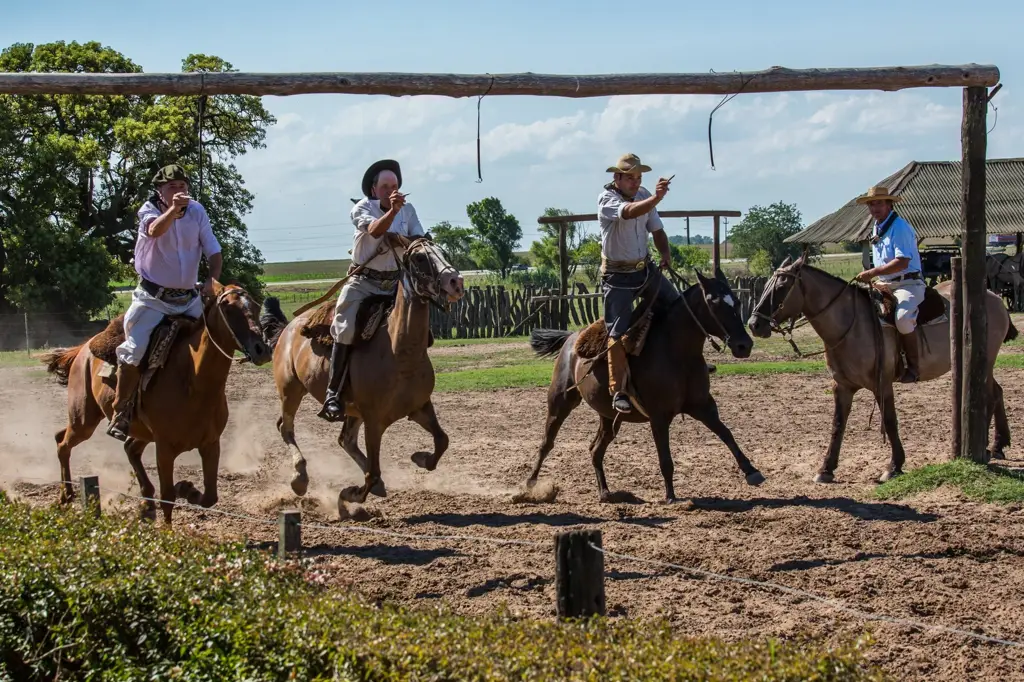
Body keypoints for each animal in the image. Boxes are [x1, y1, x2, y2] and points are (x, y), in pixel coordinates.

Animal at [39, 280, 274, 520]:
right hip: (83, 420)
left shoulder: (210, 444)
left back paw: (146, 504)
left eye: (256, 307)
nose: (261, 349)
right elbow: (168, 498)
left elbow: (209, 497)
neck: (193, 382)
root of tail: (83, 349)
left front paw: (187, 489)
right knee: (63, 444)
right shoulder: (164, 448)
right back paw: (66, 496)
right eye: (228, 308)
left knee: (128, 448)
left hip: (135, 429)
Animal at [258, 233, 466, 503]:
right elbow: (374, 471)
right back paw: (300, 477)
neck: (400, 353)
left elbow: (442, 440)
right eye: (420, 257)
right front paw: (353, 494)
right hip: (290, 390)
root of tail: (289, 328)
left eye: (444, 252)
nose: (456, 282)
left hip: (349, 409)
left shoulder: (419, 407)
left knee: (344, 440)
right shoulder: (373, 420)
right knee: (286, 427)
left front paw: (420, 458)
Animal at [528, 266, 761, 499]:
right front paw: (671, 497)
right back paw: (530, 484)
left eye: (737, 302)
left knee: (596, 449)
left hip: (609, 417)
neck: (677, 352)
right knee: (547, 442)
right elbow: (665, 459)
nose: (744, 345)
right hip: (560, 401)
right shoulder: (659, 416)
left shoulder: (703, 406)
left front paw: (752, 471)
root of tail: (571, 338)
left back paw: (604, 492)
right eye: (714, 302)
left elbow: (726, 434)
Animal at [745, 251, 1015, 481]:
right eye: (766, 285)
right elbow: (837, 424)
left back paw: (988, 447)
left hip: (984, 360)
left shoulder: (881, 384)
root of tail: (993, 298)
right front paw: (826, 468)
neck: (851, 325)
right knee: (997, 392)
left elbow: (889, 421)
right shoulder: (842, 387)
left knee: (988, 396)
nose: (754, 324)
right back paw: (998, 445)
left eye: (781, 287)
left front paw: (894, 466)